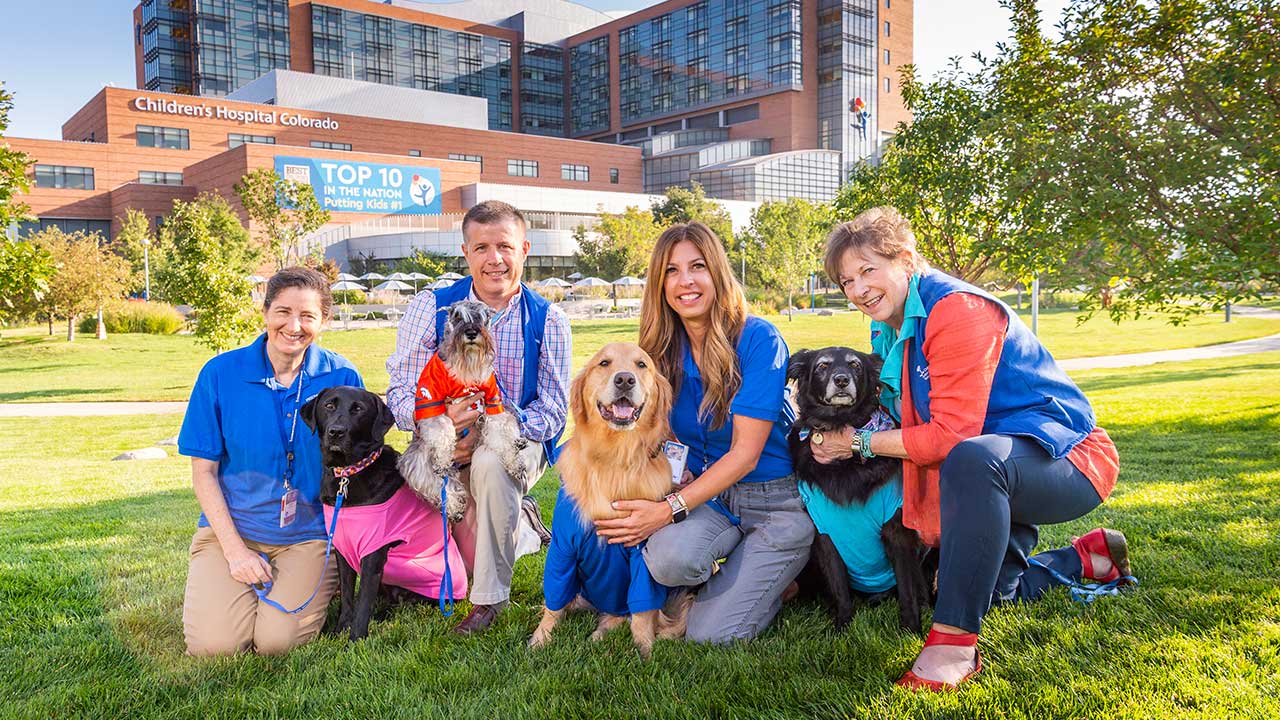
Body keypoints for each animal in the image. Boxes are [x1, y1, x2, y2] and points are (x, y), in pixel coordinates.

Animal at [299, 386, 430, 638]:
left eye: (358, 409)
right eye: (329, 405)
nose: (336, 432)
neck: (347, 473)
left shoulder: (373, 555)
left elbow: (363, 603)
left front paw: (356, 639)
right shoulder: (342, 550)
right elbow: (348, 596)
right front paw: (340, 630)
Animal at [394, 298, 524, 520]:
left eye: (483, 316)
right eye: (457, 317)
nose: (471, 333)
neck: (467, 364)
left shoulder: (492, 402)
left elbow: (500, 432)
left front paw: (513, 462)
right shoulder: (431, 402)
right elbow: (443, 428)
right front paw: (443, 458)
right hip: (417, 464)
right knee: (438, 485)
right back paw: (453, 507)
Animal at [527, 340, 691, 655]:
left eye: (642, 365)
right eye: (604, 363)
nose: (625, 379)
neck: (614, 459)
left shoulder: (641, 552)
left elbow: (642, 611)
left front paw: (645, 649)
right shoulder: (563, 548)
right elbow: (553, 603)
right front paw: (540, 639)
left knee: (619, 615)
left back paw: (600, 634)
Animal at [783, 345, 926, 630]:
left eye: (855, 365)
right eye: (823, 365)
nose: (841, 380)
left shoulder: (897, 533)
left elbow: (907, 590)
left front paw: (911, 630)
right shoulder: (825, 536)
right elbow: (840, 588)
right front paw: (842, 627)